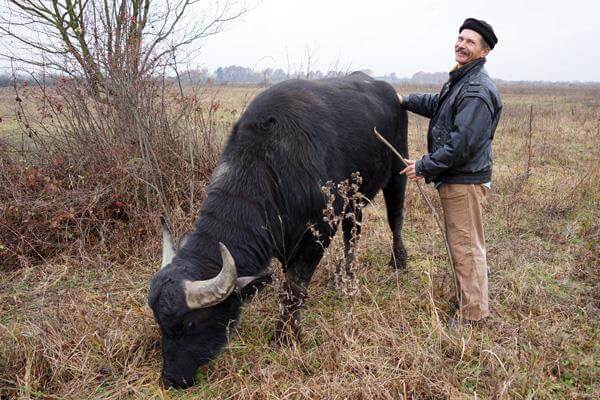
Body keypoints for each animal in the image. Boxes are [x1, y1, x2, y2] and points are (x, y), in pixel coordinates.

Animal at [149, 72, 408, 388]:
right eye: (160, 323)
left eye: (190, 323)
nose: (172, 379)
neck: (271, 167)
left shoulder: (316, 233)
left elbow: (295, 287)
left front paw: (284, 336)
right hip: (353, 201)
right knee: (353, 235)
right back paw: (346, 278)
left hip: (399, 171)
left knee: (395, 218)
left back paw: (398, 262)